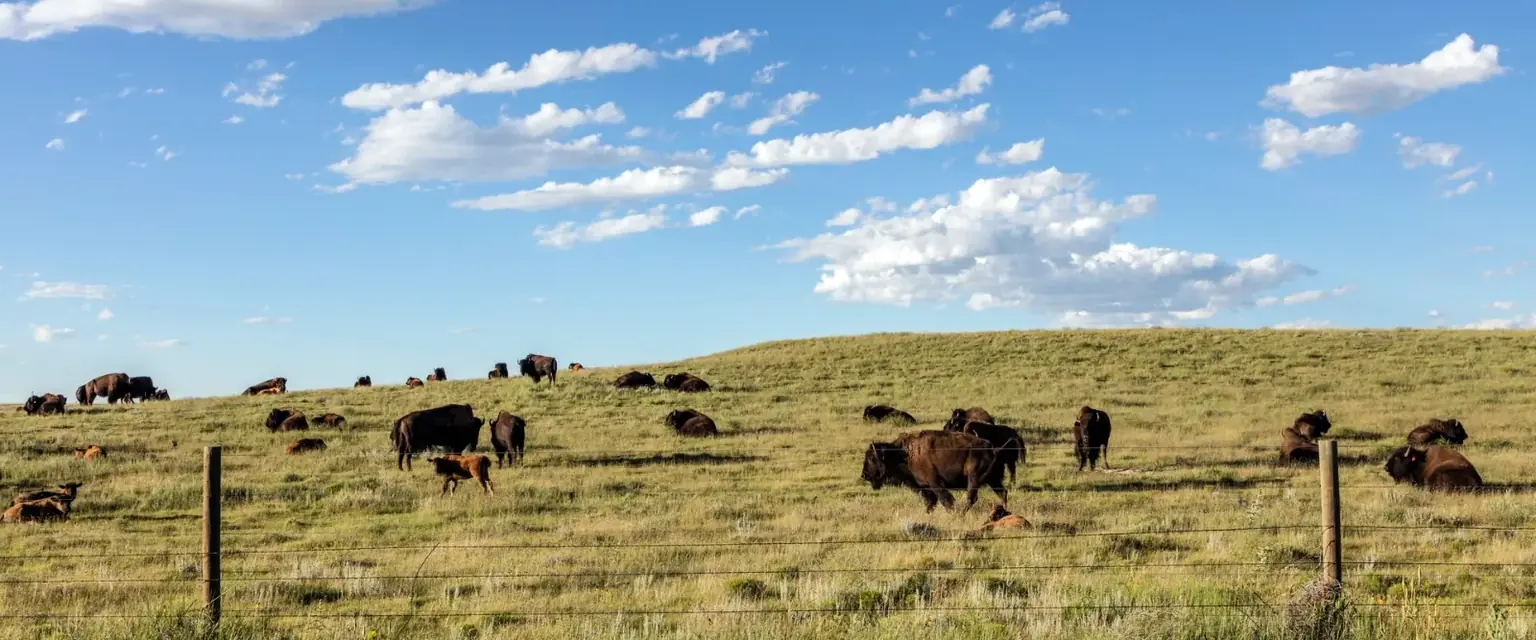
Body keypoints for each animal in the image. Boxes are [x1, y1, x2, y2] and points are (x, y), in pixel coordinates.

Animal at [862, 430, 1007, 513]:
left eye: (872, 458)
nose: (864, 475)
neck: (903, 453)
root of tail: (992, 448)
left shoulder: (934, 482)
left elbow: (944, 499)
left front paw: (952, 512)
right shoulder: (925, 487)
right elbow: (930, 502)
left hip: (974, 478)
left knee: (971, 497)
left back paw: (961, 513)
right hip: (993, 480)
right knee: (1002, 492)